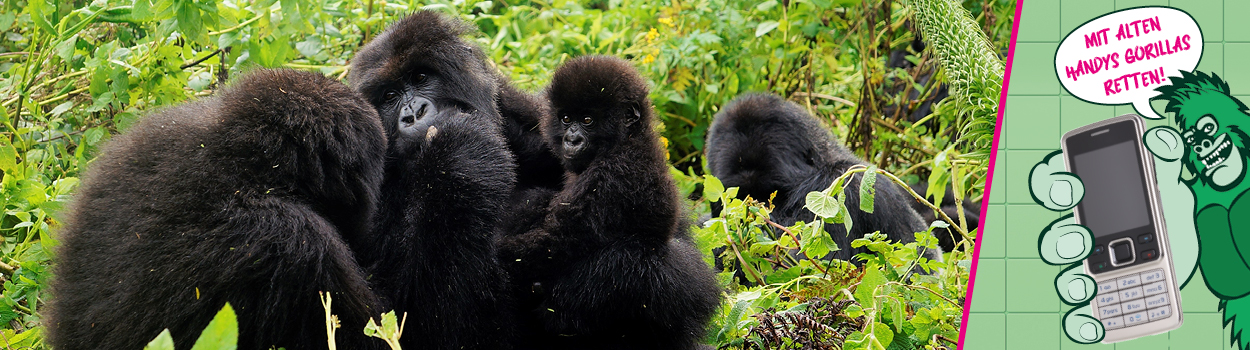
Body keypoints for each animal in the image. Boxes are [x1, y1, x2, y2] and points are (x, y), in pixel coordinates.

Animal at [492, 54, 720, 350]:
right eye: (566, 119)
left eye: (588, 120)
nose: (572, 140)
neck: (628, 138)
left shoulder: (610, 177)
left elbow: (548, 245)